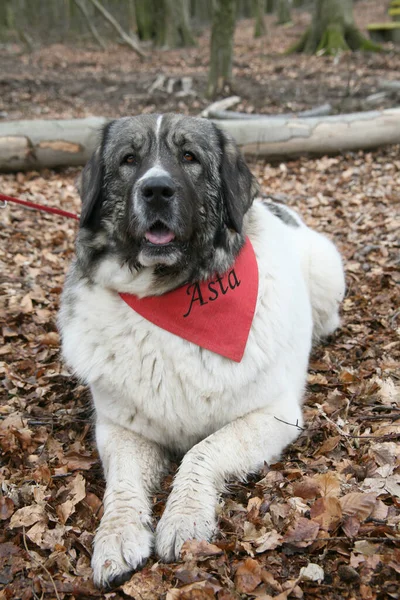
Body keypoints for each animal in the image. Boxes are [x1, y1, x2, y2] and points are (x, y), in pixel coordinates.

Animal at [57, 115, 346, 588]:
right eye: (128, 160)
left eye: (190, 157)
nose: (156, 190)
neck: (171, 300)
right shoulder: (119, 427)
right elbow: (123, 481)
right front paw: (116, 535)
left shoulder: (274, 414)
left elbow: (202, 451)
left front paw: (184, 519)